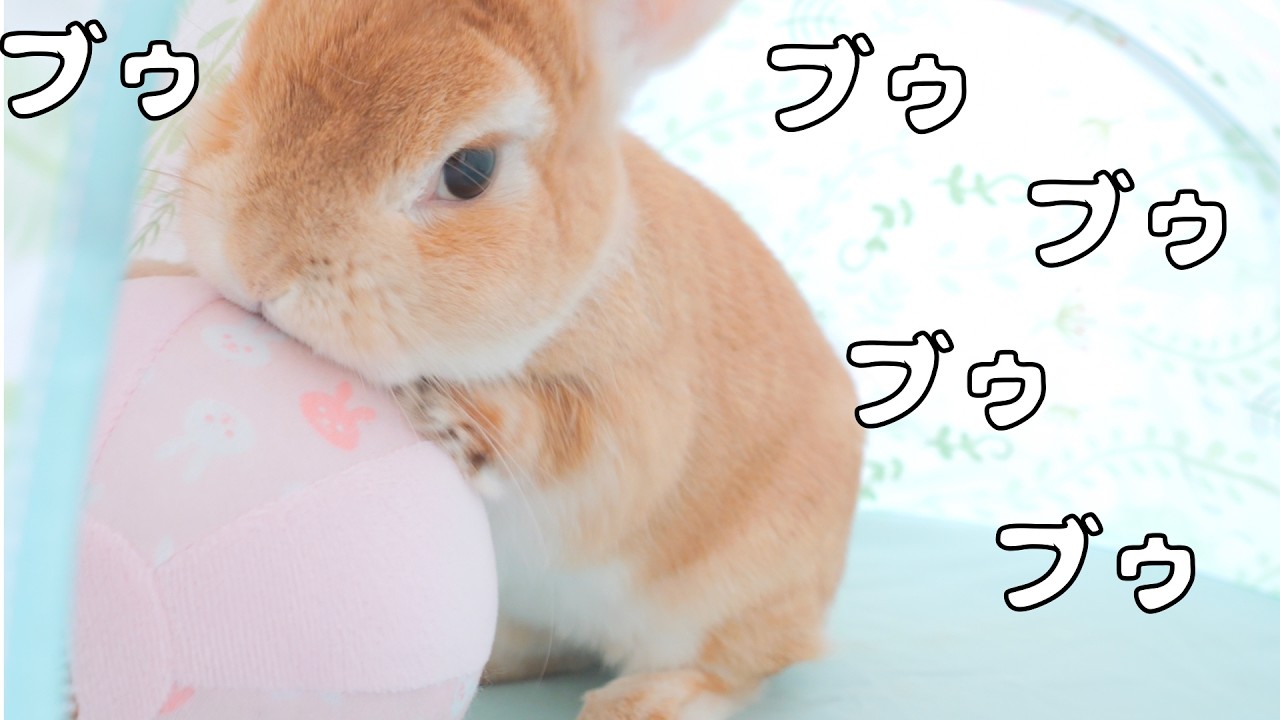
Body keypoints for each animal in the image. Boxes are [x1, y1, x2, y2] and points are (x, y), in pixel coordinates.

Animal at [159, 1, 865, 718]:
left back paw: (636, 702)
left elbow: (560, 434)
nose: (255, 264)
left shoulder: (639, 418)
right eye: (249, 66)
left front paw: (446, 410)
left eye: (469, 171)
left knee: (733, 671)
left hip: (731, 603)